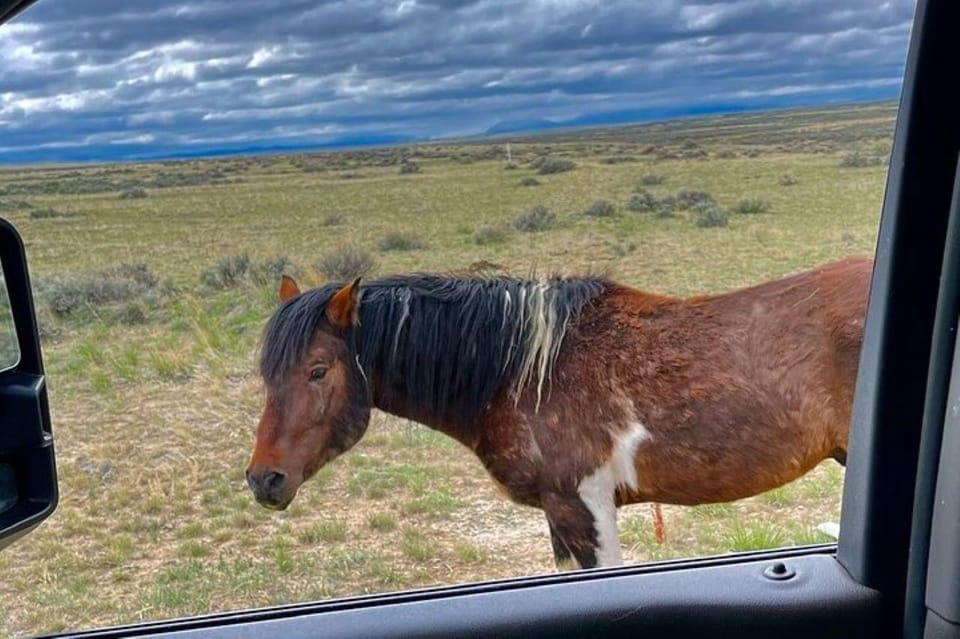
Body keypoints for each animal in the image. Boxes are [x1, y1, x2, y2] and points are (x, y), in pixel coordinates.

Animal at [246, 258, 872, 572]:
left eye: (318, 371)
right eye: (266, 372)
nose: (263, 480)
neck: (519, 371)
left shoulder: (582, 504)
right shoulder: (558, 511)